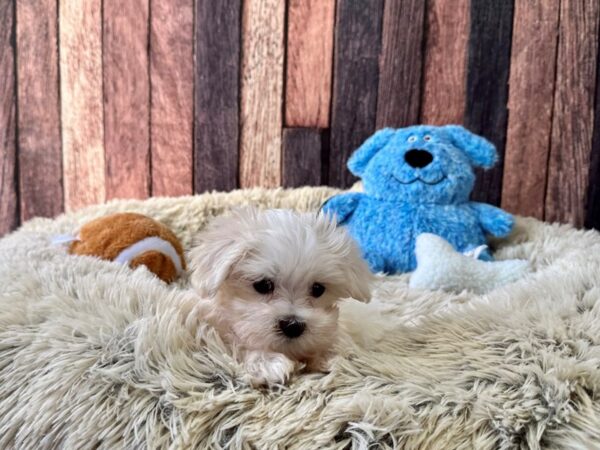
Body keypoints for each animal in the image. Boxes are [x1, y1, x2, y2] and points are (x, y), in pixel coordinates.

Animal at [190, 207, 372, 386]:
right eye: (263, 285)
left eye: (318, 289)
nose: (293, 326)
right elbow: (233, 341)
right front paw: (268, 363)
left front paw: (327, 355)